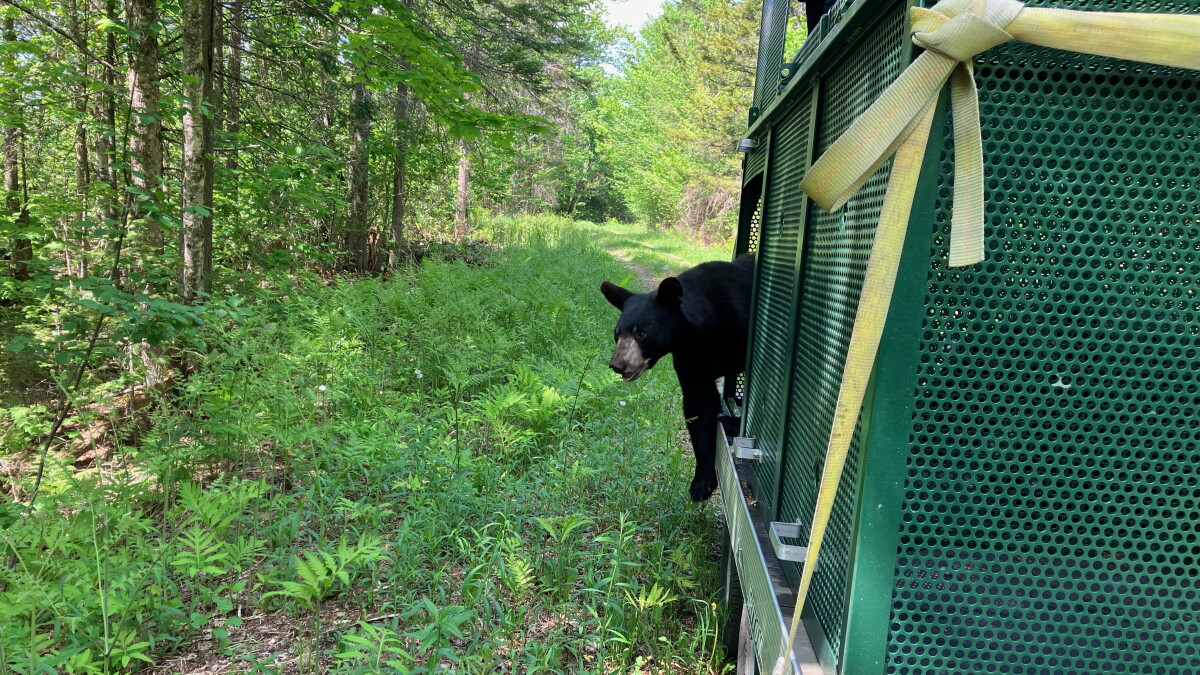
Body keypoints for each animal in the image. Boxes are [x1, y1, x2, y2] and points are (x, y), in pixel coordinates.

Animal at [599, 253, 755, 501]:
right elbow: (699, 407)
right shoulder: (690, 360)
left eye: (642, 333)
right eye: (617, 334)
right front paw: (702, 483)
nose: (617, 364)